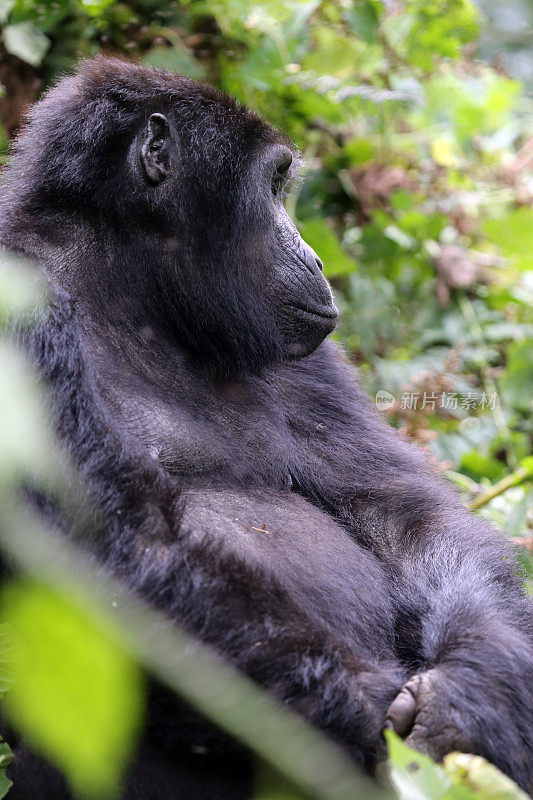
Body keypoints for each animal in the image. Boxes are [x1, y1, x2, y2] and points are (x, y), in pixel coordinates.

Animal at [0, 57, 528, 800]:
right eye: (274, 186)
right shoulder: (16, 305)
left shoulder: (303, 356)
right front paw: (371, 716)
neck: (128, 288)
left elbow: (402, 514)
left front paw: (479, 694)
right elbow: (109, 549)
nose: (313, 256)